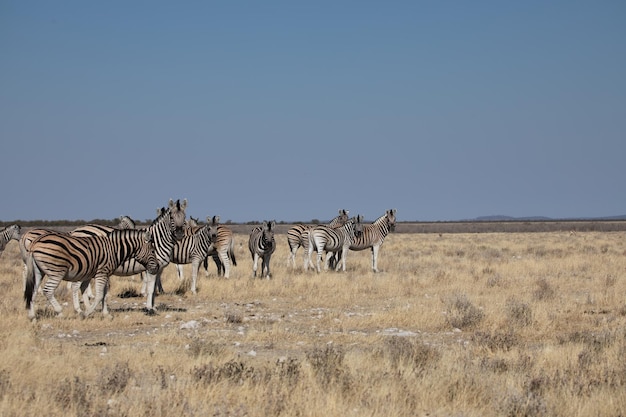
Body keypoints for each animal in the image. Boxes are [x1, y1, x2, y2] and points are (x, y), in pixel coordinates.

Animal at [22, 228, 158, 318]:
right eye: (152, 250)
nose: (156, 267)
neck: (114, 250)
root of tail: (34, 243)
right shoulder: (102, 272)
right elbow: (99, 295)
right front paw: (86, 313)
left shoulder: (100, 274)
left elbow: (103, 294)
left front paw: (105, 314)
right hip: (57, 272)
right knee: (48, 290)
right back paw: (60, 312)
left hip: (39, 272)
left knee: (33, 291)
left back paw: (32, 316)